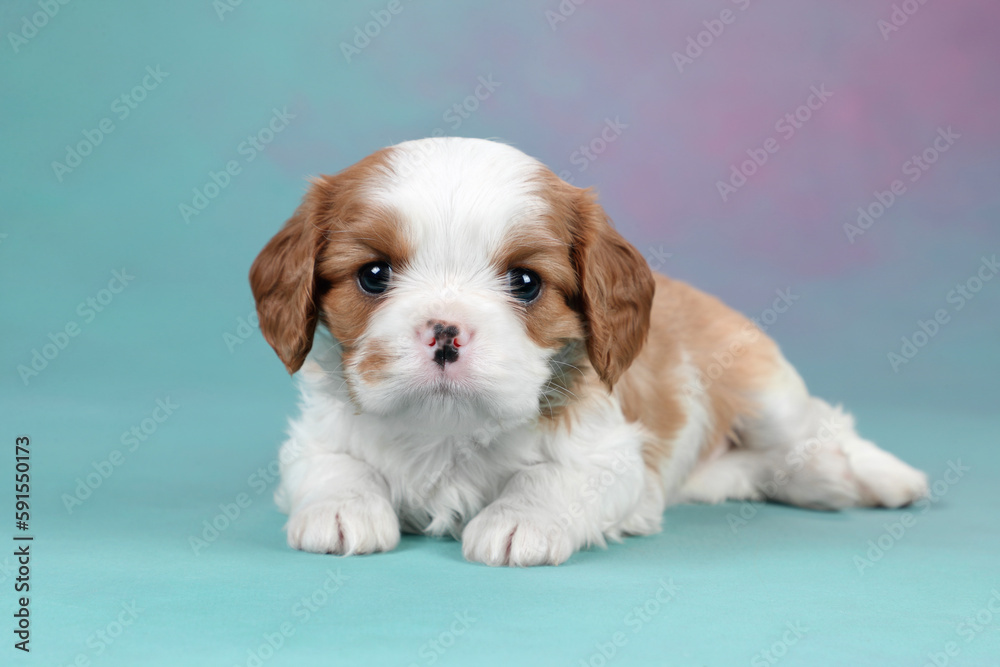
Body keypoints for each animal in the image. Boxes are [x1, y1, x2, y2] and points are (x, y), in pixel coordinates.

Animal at [250, 138, 928, 568]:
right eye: (373, 275)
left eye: (525, 282)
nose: (445, 332)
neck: (448, 433)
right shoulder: (312, 439)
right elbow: (333, 464)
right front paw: (341, 509)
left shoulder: (613, 453)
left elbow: (553, 477)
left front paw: (519, 520)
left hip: (762, 388)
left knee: (819, 426)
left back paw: (872, 475)